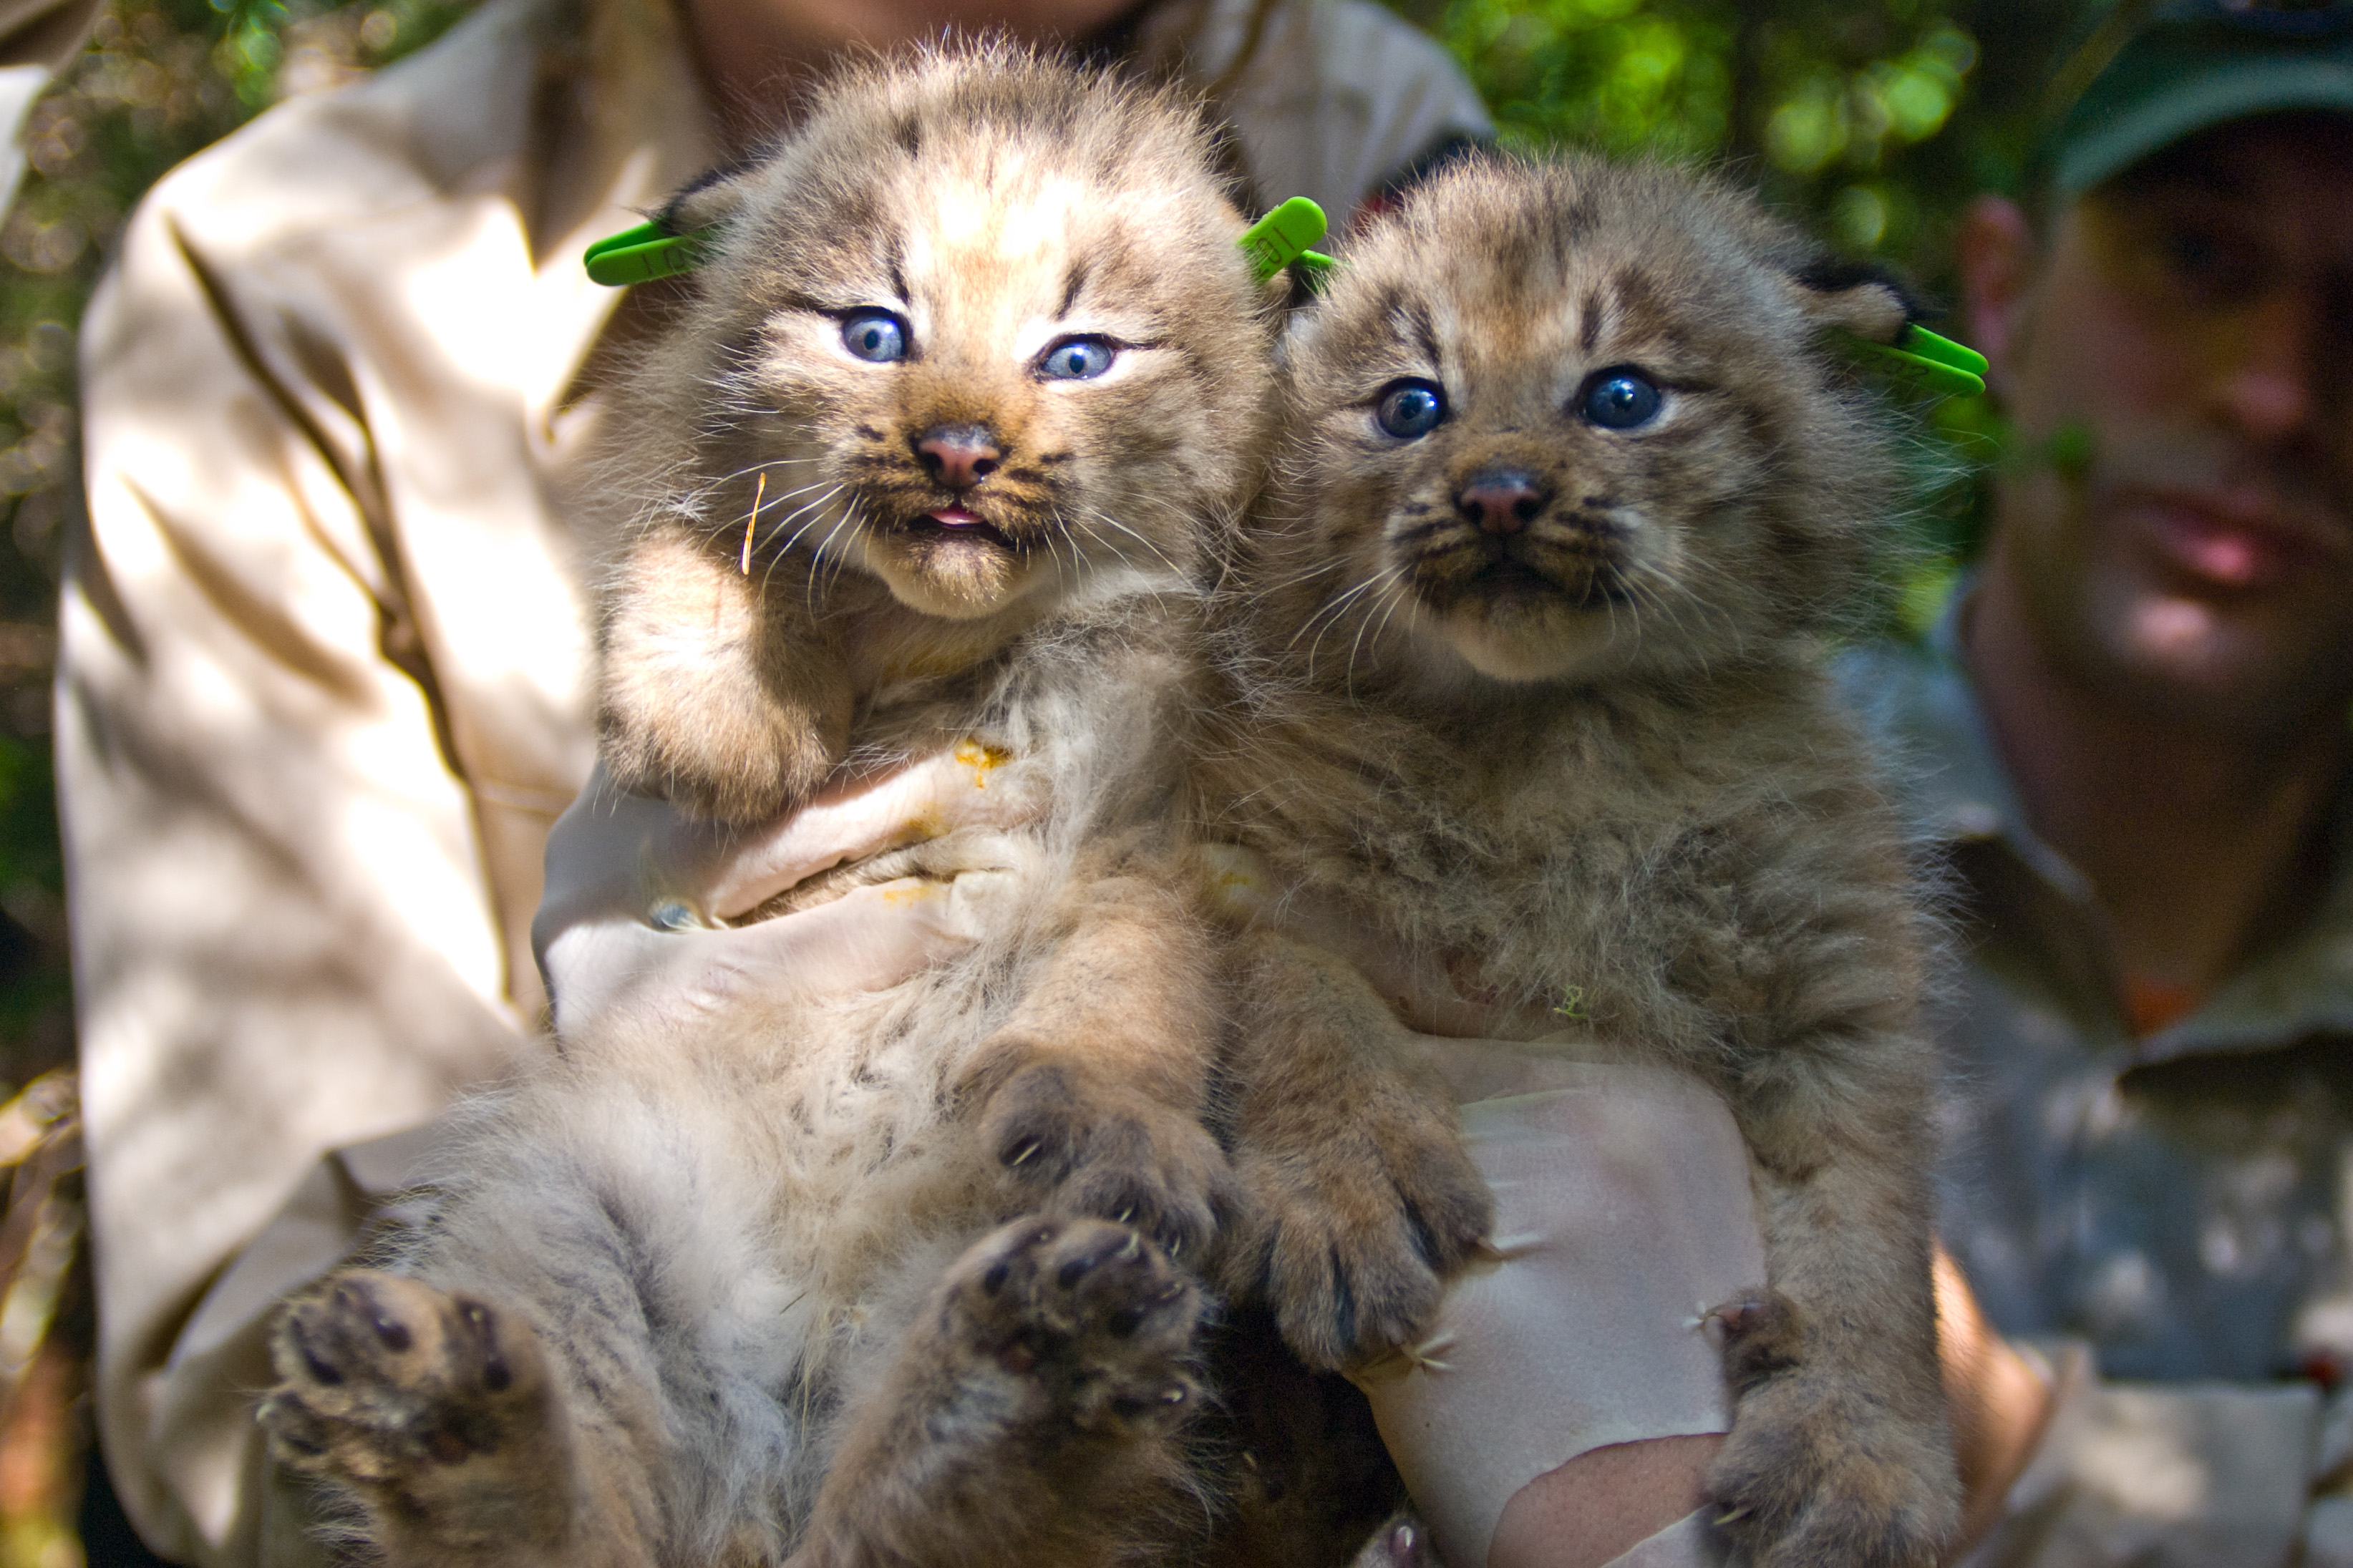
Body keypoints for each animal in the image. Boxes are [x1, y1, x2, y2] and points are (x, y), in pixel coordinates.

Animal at [257, 52, 1289, 1568]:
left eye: (1078, 357)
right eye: (874, 332)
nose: (958, 453)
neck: (946, 653)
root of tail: (767, 1442)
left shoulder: (1148, 844)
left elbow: (1130, 990)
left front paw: (1114, 1117)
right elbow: (698, 539)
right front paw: (720, 704)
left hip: (954, 1251)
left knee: (902, 1524)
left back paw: (1035, 1364)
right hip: (567, 1197)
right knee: (590, 1523)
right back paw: (444, 1415)